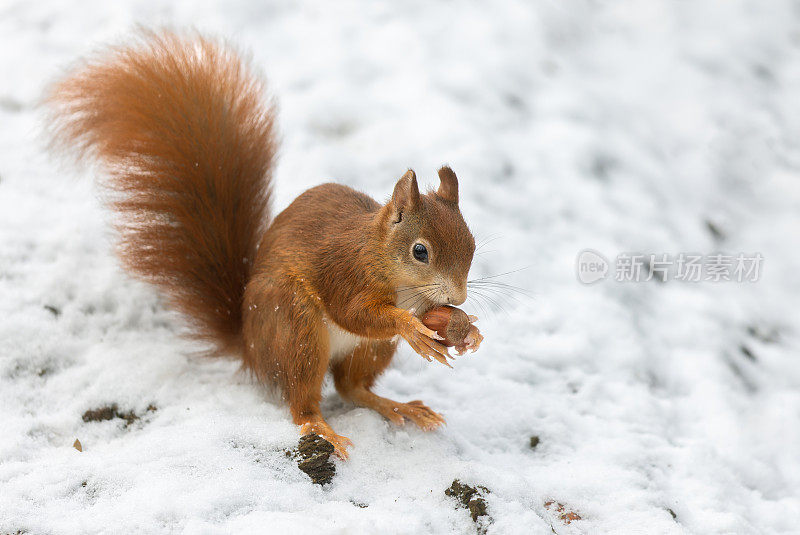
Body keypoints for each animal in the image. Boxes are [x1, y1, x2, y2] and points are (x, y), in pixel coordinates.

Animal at [47, 30, 482, 456]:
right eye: (420, 251)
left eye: (473, 245)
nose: (458, 297)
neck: (390, 267)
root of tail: (253, 349)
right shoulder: (346, 272)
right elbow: (355, 313)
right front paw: (409, 326)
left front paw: (470, 331)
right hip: (295, 326)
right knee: (302, 400)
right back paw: (322, 428)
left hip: (369, 350)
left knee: (352, 388)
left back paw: (399, 406)